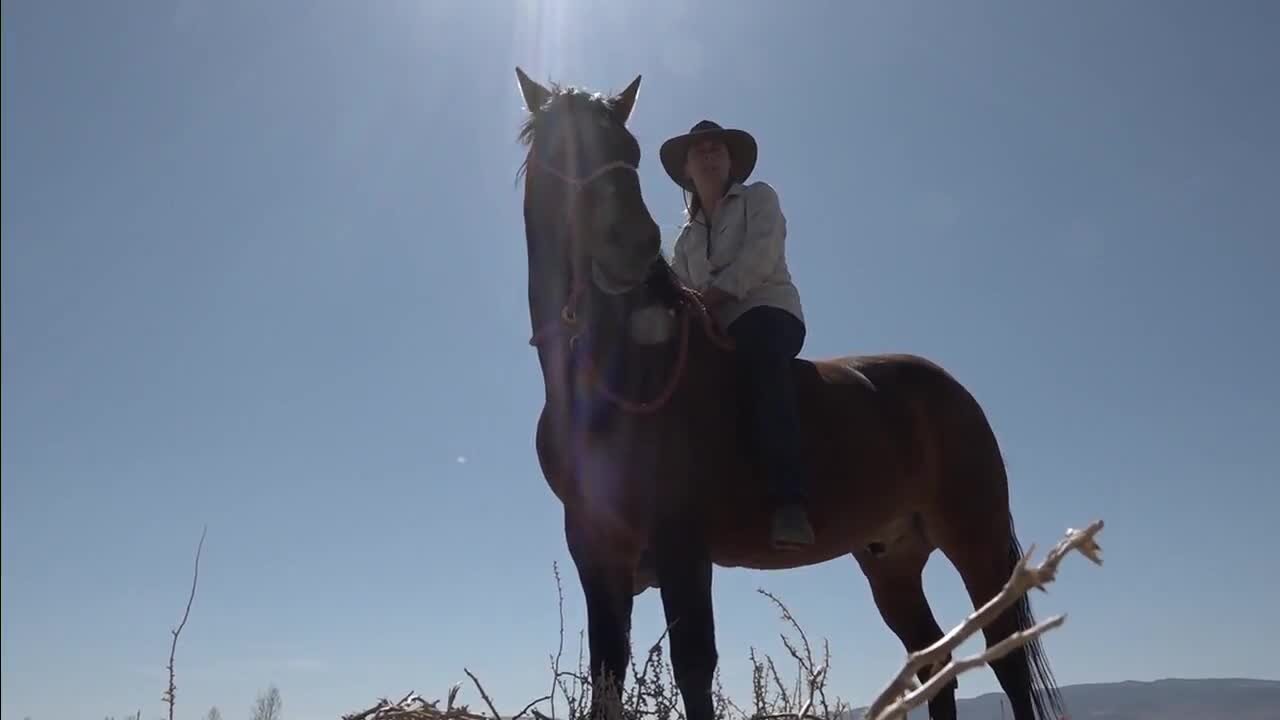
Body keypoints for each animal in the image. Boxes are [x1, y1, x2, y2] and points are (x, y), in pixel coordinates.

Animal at [514, 68, 1064, 717]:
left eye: (629, 150)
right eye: (560, 151)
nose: (635, 241)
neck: (624, 376)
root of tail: (953, 391)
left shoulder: (684, 544)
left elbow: (693, 666)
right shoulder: (598, 555)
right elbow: (607, 676)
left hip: (974, 537)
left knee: (1007, 659)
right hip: (893, 559)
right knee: (934, 661)